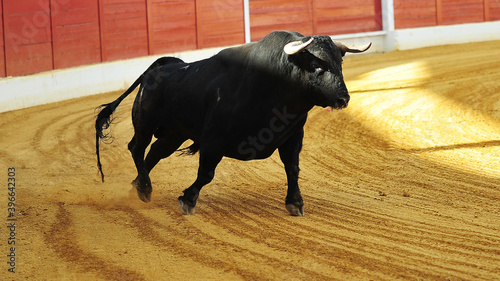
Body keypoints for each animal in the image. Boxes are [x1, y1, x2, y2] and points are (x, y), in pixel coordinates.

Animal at [95, 30, 370, 214]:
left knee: (154, 152)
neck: (273, 86)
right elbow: (206, 173)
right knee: (137, 148)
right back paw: (145, 188)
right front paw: (187, 199)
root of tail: (159, 68)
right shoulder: (213, 140)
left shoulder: (293, 136)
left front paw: (295, 203)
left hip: (174, 133)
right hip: (146, 123)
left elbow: (293, 168)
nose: (343, 98)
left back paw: (137, 185)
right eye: (315, 64)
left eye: (340, 62)